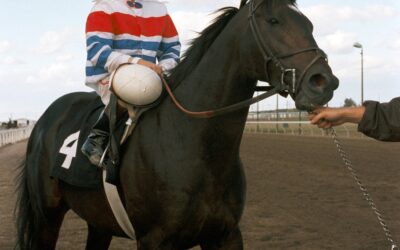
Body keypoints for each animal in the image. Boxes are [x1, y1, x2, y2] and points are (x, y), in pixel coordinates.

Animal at [15, 0, 340, 249]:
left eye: (310, 25)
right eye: (273, 21)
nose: (323, 82)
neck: (197, 149)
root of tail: (44, 119)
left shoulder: (226, 234)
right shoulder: (154, 240)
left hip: (98, 220)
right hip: (47, 216)